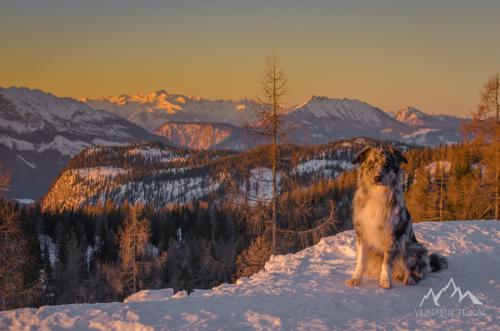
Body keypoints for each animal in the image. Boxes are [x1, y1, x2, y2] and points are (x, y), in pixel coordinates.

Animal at [346, 147, 448, 290]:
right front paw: (356, 279)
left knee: (416, 270)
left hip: (412, 248)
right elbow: (360, 261)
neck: (376, 195)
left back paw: (410, 279)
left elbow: (387, 262)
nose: (377, 177)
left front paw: (385, 281)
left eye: (387, 165)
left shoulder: (392, 236)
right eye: (371, 164)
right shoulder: (362, 233)